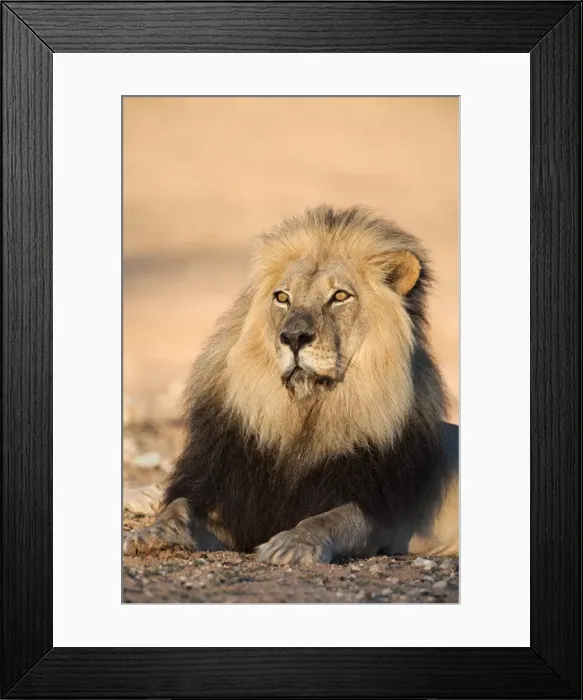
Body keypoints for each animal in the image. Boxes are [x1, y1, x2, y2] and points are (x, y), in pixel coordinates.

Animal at [124, 205, 459, 564]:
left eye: (340, 296)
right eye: (283, 297)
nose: (294, 337)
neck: (301, 413)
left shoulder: (375, 511)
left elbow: (330, 519)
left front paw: (292, 544)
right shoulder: (231, 497)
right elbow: (178, 506)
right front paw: (150, 533)